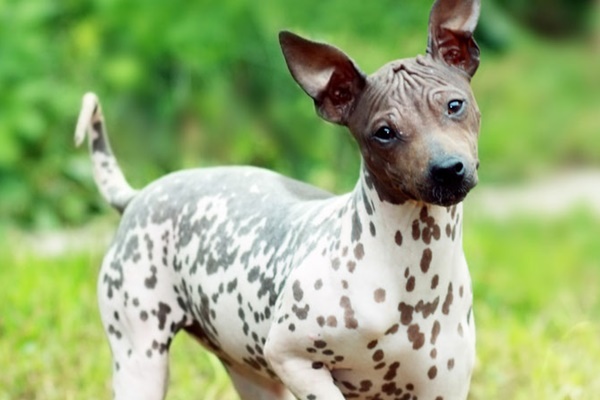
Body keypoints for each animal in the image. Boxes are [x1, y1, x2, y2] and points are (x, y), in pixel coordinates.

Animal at [76, 1, 482, 398]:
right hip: (141, 357)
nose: (447, 169)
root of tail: (139, 195)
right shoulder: (291, 357)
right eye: (384, 132)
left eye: (455, 106)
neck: (411, 274)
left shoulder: (443, 388)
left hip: (251, 376)